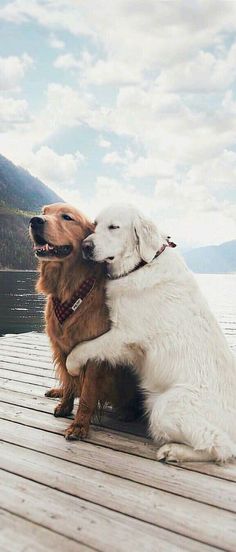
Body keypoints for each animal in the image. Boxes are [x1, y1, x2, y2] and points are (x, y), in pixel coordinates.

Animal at [28, 203, 141, 440]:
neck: (69, 291)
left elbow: (88, 394)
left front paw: (79, 426)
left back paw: (127, 411)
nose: (35, 220)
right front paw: (65, 405)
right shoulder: (61, 348)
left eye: (67, 217)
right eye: (44, 211)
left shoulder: (93, 354)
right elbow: (70, 380)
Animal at [66, 203, 236, 462]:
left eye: (114, 227)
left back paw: (172, 451)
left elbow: (82, 348)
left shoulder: (124, 335)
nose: (86, 246)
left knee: (220, 446)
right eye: (95, 225)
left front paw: (72, 367)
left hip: (165, 408)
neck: (141, 265)